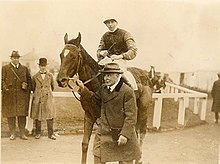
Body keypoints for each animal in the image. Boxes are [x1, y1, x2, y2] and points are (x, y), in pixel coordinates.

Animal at [56, 32, 153, 163]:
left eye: (73, 56)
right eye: (61, 55)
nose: (60, 80)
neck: (97, 82)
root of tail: (146, 75)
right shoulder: (89, 115)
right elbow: (85, 144)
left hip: (143, 111)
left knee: (141, 133)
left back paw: (139, 158)